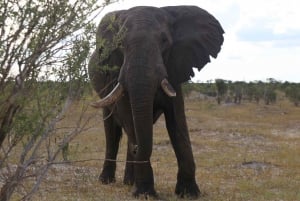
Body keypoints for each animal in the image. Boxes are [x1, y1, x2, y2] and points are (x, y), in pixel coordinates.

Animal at [88, 5, 224, 199]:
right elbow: (128, 115)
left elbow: (177, 122)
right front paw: (145, 193)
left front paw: (189, 193)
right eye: (120, 44)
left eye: (165, 41)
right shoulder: (115, 74)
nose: (136, 150)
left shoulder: (174, 67)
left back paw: (129, 181)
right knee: (113, 129)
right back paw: (107, 180)